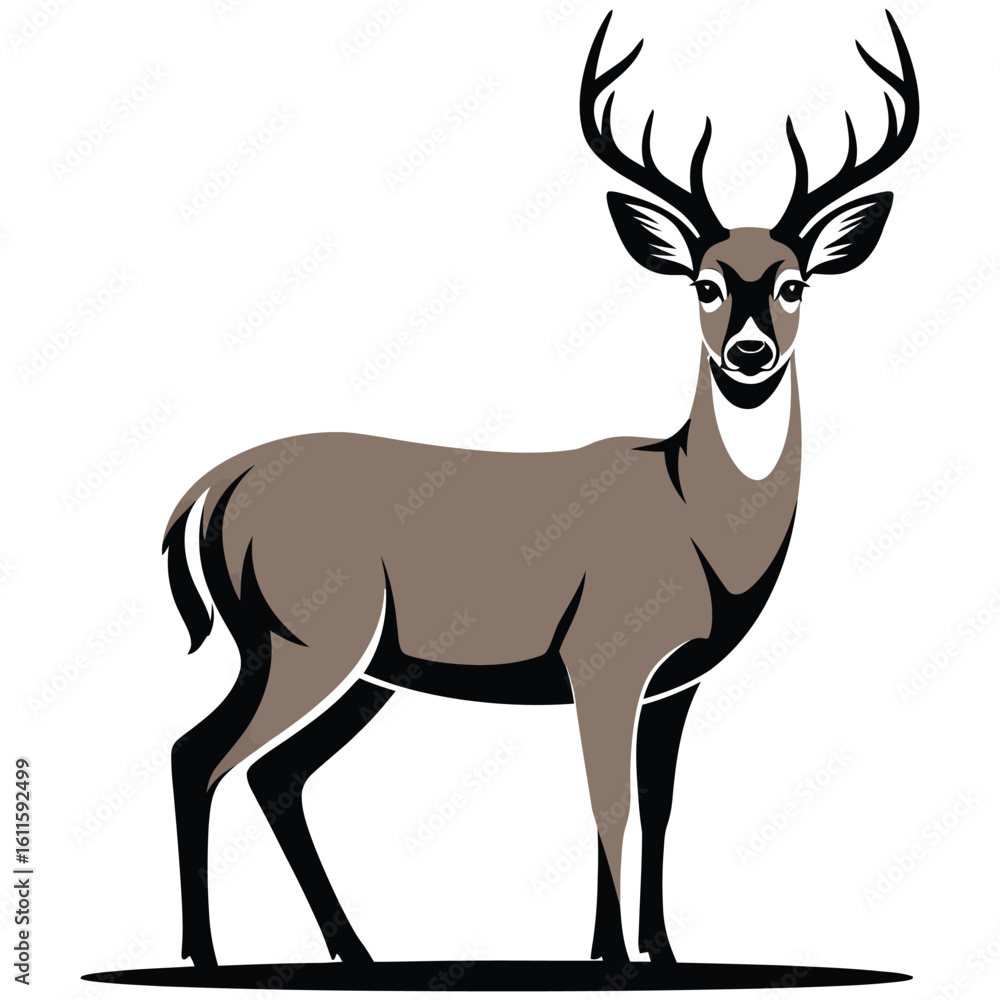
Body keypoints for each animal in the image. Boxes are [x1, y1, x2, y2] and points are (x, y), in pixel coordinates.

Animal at [161, 9, 918, 969]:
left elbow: (660, 805)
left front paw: (660, 954)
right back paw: (205, 956)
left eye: (795, 283)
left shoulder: (674, 684)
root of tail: (216, 486)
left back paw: (355, 952)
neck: (700, 526)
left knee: (272, 772)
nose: (749, 353)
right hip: (304, 635)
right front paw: (612, 959)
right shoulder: (603, 654)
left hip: (359, 664)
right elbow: (607, 802)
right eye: (704, 284)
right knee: (201, 755)